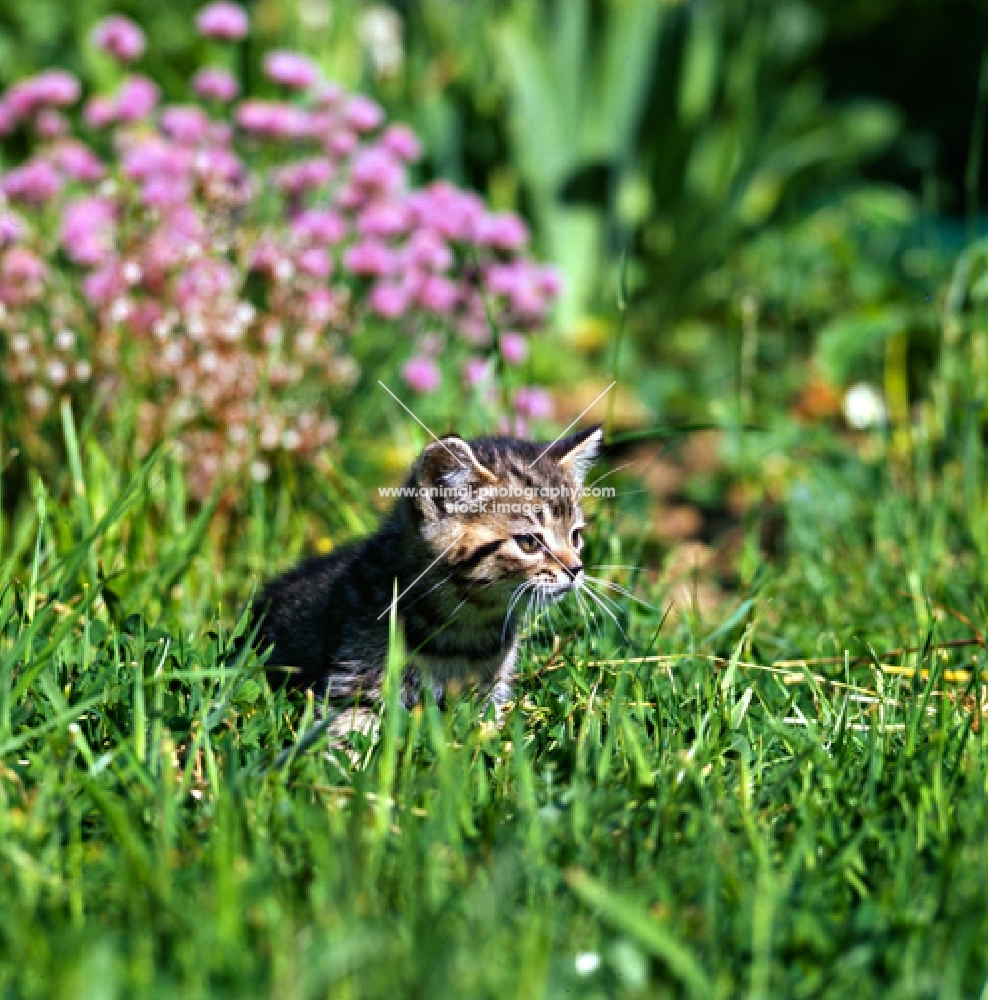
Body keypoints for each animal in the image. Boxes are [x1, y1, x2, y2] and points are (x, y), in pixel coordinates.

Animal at [258, 426, 600, 716]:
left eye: (575, 536)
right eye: (529, 542)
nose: (576, 569)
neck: (466, 625)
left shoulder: (489, 694)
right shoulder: (351, 683)